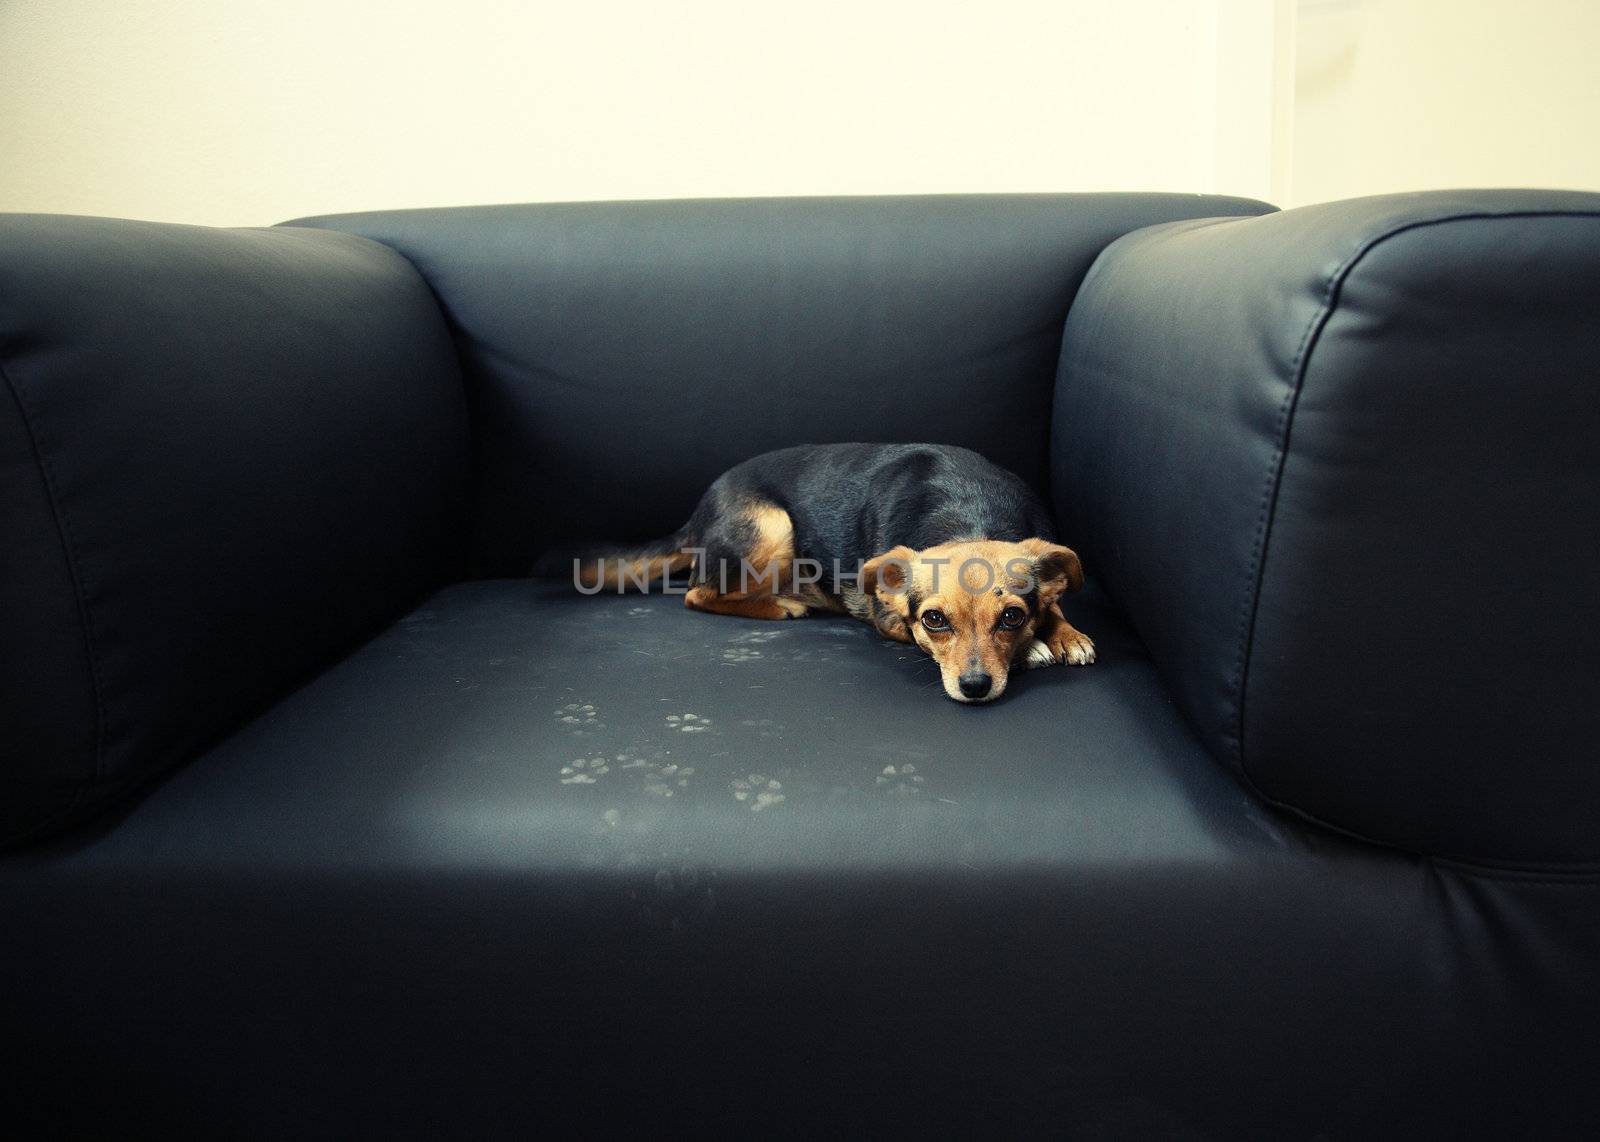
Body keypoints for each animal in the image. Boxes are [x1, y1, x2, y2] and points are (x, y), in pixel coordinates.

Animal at [556, 441, 1094, 697]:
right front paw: (1038, 648)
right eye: (934, 621)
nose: (976, 688)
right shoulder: (889, 620)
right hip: (772, 525)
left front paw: (1063, 633)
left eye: (1012, 617)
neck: (969, 515)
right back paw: (782, 605)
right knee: (697, 593)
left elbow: (1053, 602)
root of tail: (697, 514)